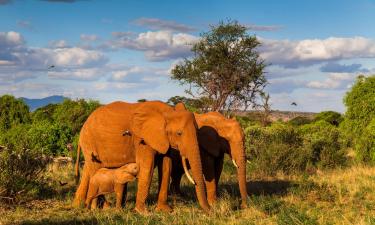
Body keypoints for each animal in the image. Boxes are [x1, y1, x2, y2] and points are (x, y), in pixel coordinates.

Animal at [72, 101, 210, 214]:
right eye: (179, 133)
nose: (210, 210)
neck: (168, 111)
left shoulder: (163, 139)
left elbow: (166, 167)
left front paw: (164, 210)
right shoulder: (141, 139)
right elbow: (147, 166)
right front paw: (142, 212)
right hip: (90, 143)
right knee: (96, 170)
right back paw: (105, 207)